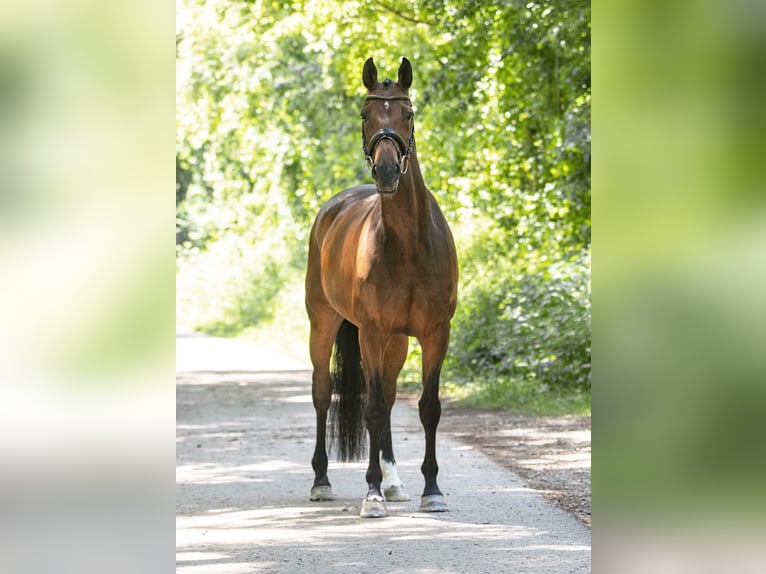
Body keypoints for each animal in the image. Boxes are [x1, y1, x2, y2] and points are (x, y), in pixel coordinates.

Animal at [305, 57, 458, 518]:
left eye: (408, 113)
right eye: (365, 114)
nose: (387, 171)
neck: (408, 245)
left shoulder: (434, 333)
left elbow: (427, 408)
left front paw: (431, 490)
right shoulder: (371, 332)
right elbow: (370, 408)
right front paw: (371, 494)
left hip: (397, 342)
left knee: (389, 397)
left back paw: (394, 482)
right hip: (324, 323)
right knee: (324, 392)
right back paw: (322, 481)